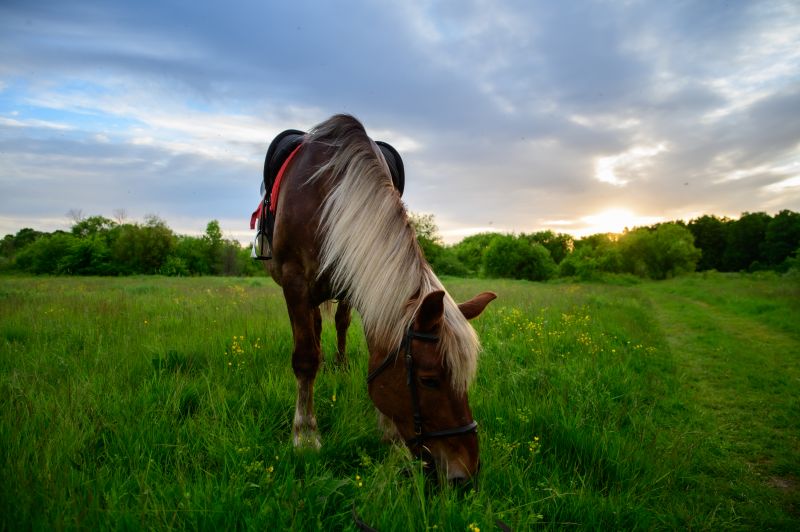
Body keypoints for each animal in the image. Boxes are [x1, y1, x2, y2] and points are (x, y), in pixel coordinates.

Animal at [266, 114, 496, 480]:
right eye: (429, 381)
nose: (466, 474)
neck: (327, 194)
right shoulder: (295, 283)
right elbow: (305, 359)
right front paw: (305, 435)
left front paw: (391, 438)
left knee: (339, 323)